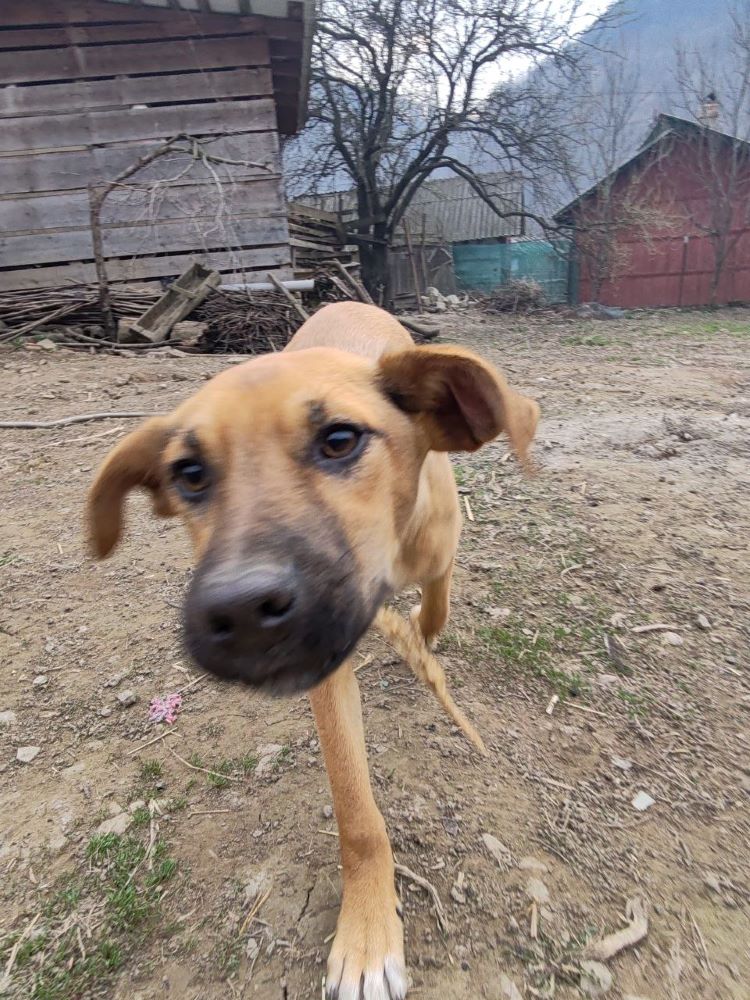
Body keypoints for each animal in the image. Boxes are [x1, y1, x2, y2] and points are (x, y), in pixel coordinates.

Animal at [86, 302, 540, 1000]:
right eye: (189, 474)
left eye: (341, 440)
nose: (241, 611)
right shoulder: (325, 672)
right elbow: (357, 816)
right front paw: (368, 933)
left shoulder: (439, 544)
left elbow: (436, 602)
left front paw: (422, 639)